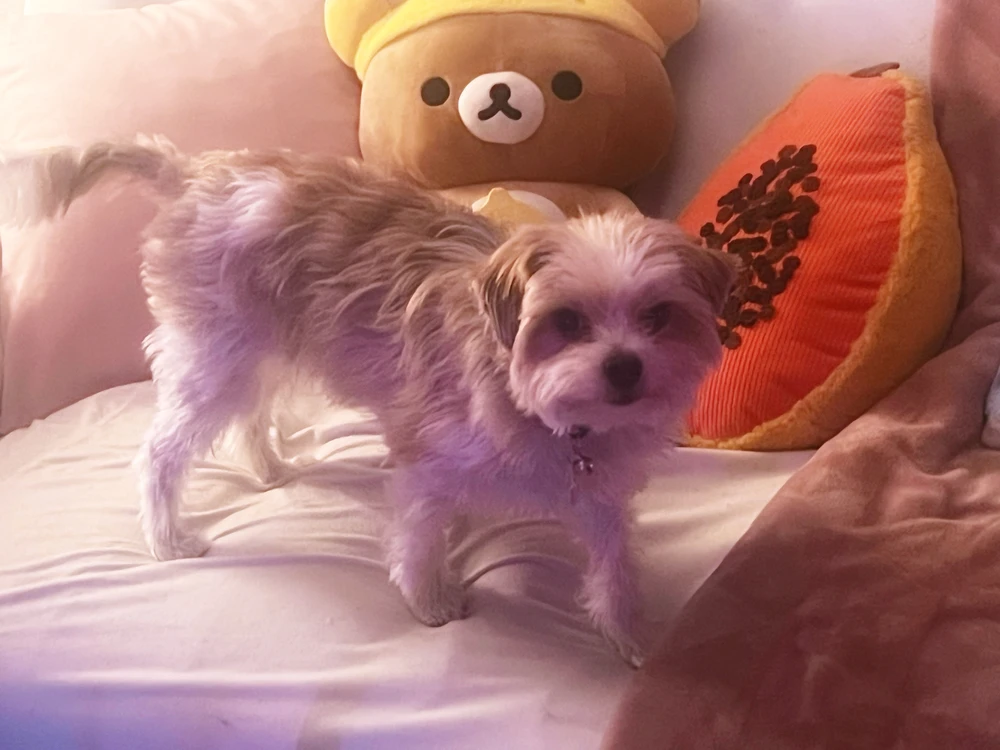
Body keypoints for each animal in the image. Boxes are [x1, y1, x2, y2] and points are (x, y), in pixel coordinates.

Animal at [0, 137, 738, 665]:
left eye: (658, 317)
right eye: (567, 322)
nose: (624, 366)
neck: (555, 421)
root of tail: (197, 170)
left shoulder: (602, 491)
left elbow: (615, 564)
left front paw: (633, 637)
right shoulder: (428, 456)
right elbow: (417, 536)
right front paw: (432, 601)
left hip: (260, 349)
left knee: (249, 418)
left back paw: (268, 468)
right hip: (217, 356)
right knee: (161, 453)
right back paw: (168, 537)